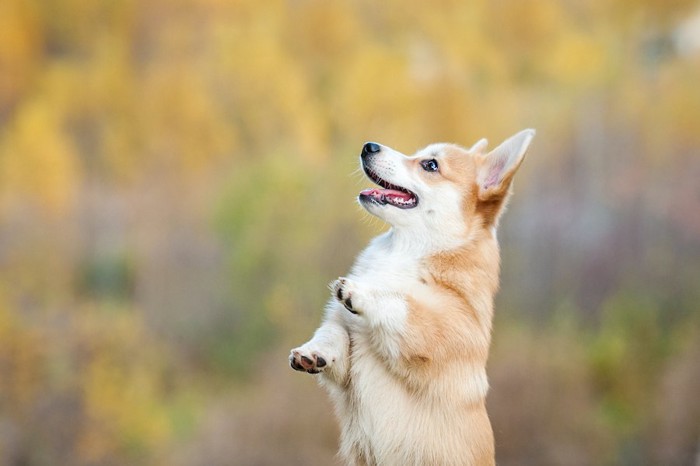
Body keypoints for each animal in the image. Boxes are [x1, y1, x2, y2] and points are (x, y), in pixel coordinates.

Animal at [290, 129, 536, 464]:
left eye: (430, 165)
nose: (368, 146)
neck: (405, 250)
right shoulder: (343, 336)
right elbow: (332, 334)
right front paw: (312, 353)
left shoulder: (441, 331)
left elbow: (400, 304)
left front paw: (362, 291)